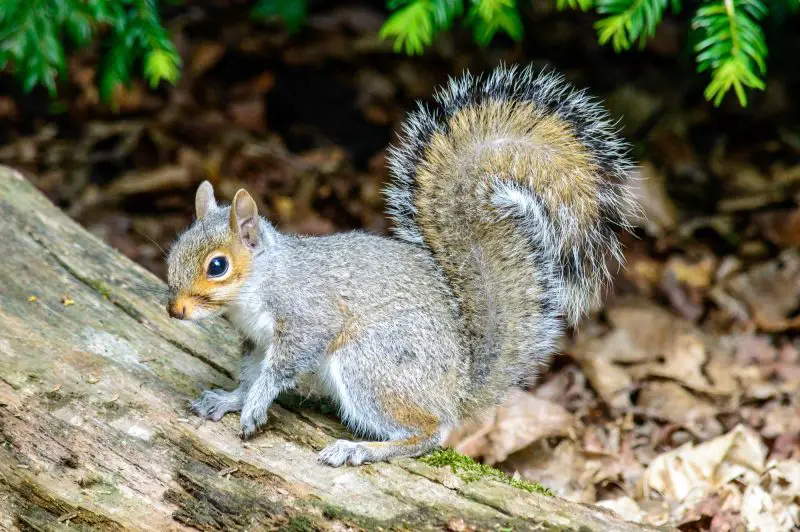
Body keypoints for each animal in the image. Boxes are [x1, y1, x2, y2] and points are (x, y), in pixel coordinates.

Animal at [166, 64, 636, 467]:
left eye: (218, 266)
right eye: (173, 251)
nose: (174, 311)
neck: (259, 284)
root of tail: (457, 390)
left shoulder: (307, 317)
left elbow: (280, 368)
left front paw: (255, 406)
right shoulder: (255, 341)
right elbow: (249, 375)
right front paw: (231, 399)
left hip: (371, 363)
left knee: (428, 433)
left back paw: (360, 449)